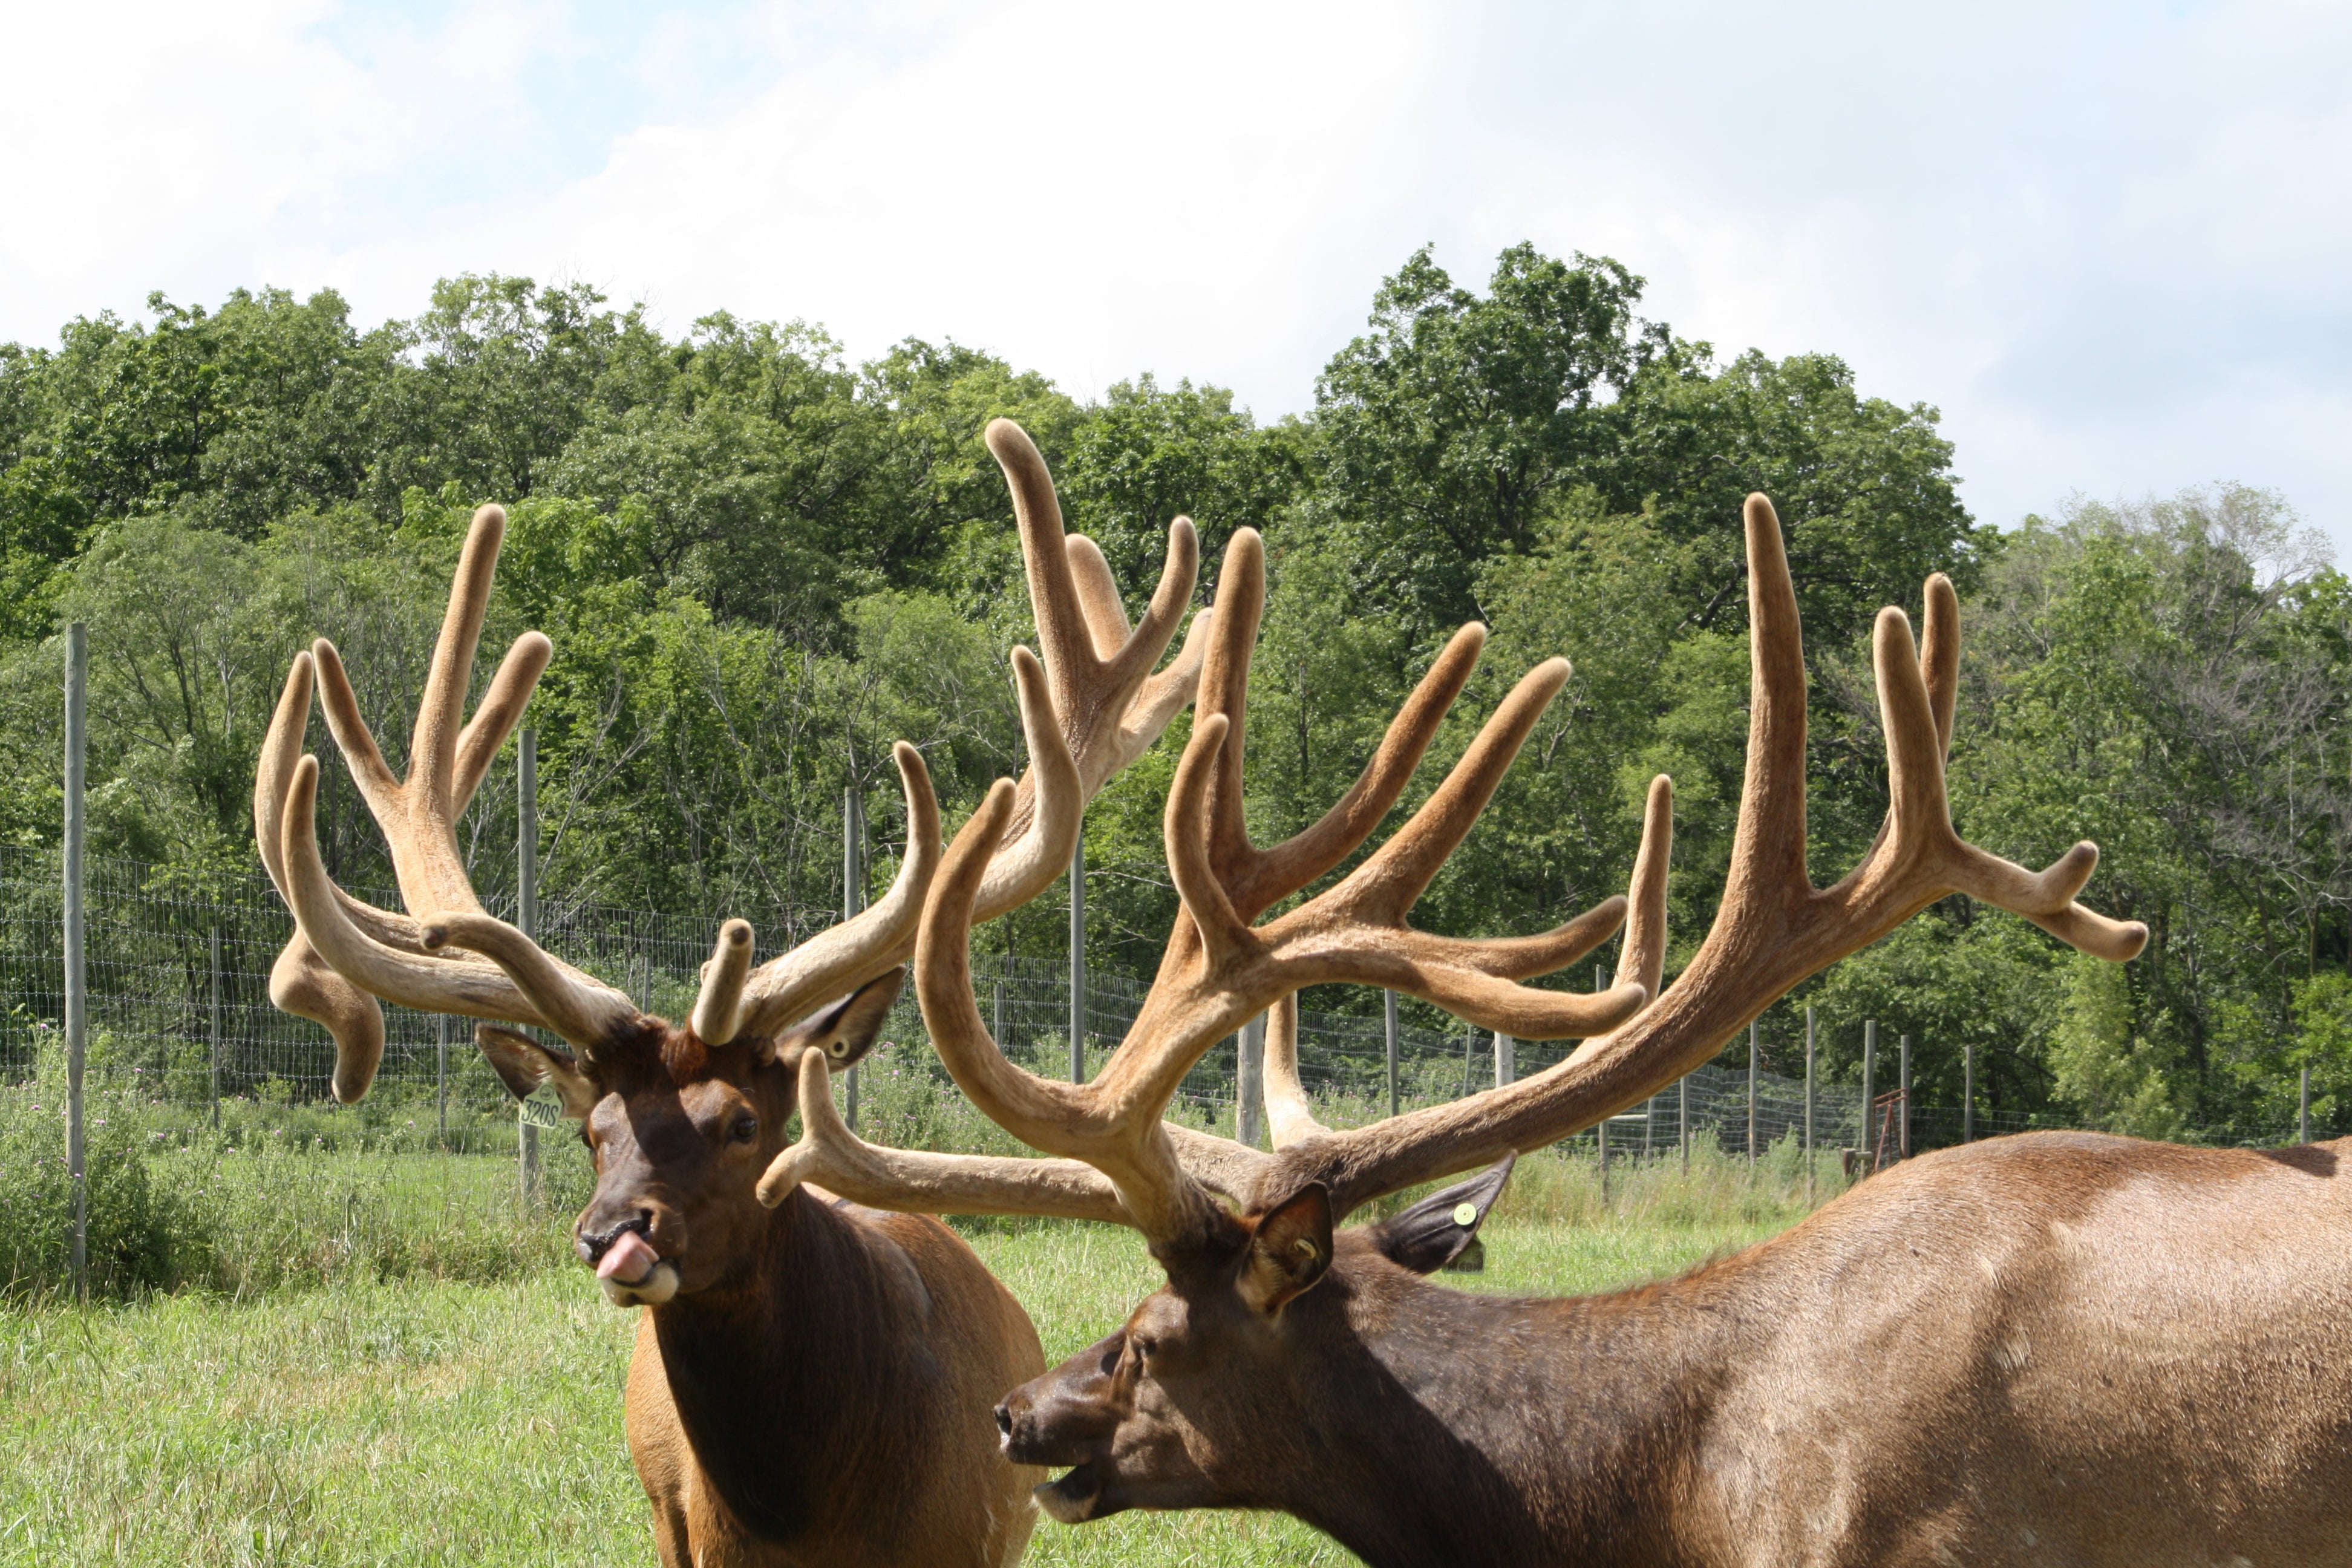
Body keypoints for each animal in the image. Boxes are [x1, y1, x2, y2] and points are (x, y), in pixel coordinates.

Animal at [250, 418, 1213, 1568]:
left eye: (744, 1121)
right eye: (594, 1131)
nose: (611, 1233)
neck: (800, 1524)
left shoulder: (967, 1537)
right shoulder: (683, 1535)